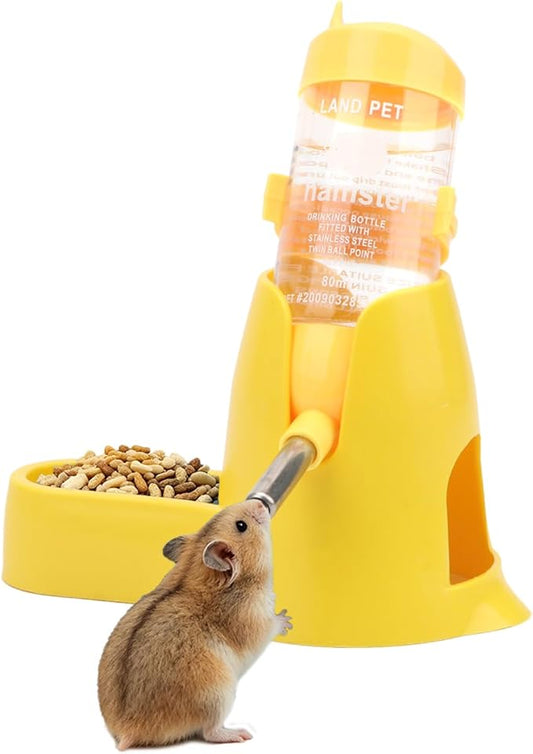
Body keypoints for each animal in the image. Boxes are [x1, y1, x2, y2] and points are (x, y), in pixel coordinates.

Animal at [97, 499, 292, 749]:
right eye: (241, 526)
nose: (260, 502)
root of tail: (127, 731)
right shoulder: (256, 620)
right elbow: (272, 624)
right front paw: (287, 619)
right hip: (218, 695)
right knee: (210, 732)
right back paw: (241, 734)